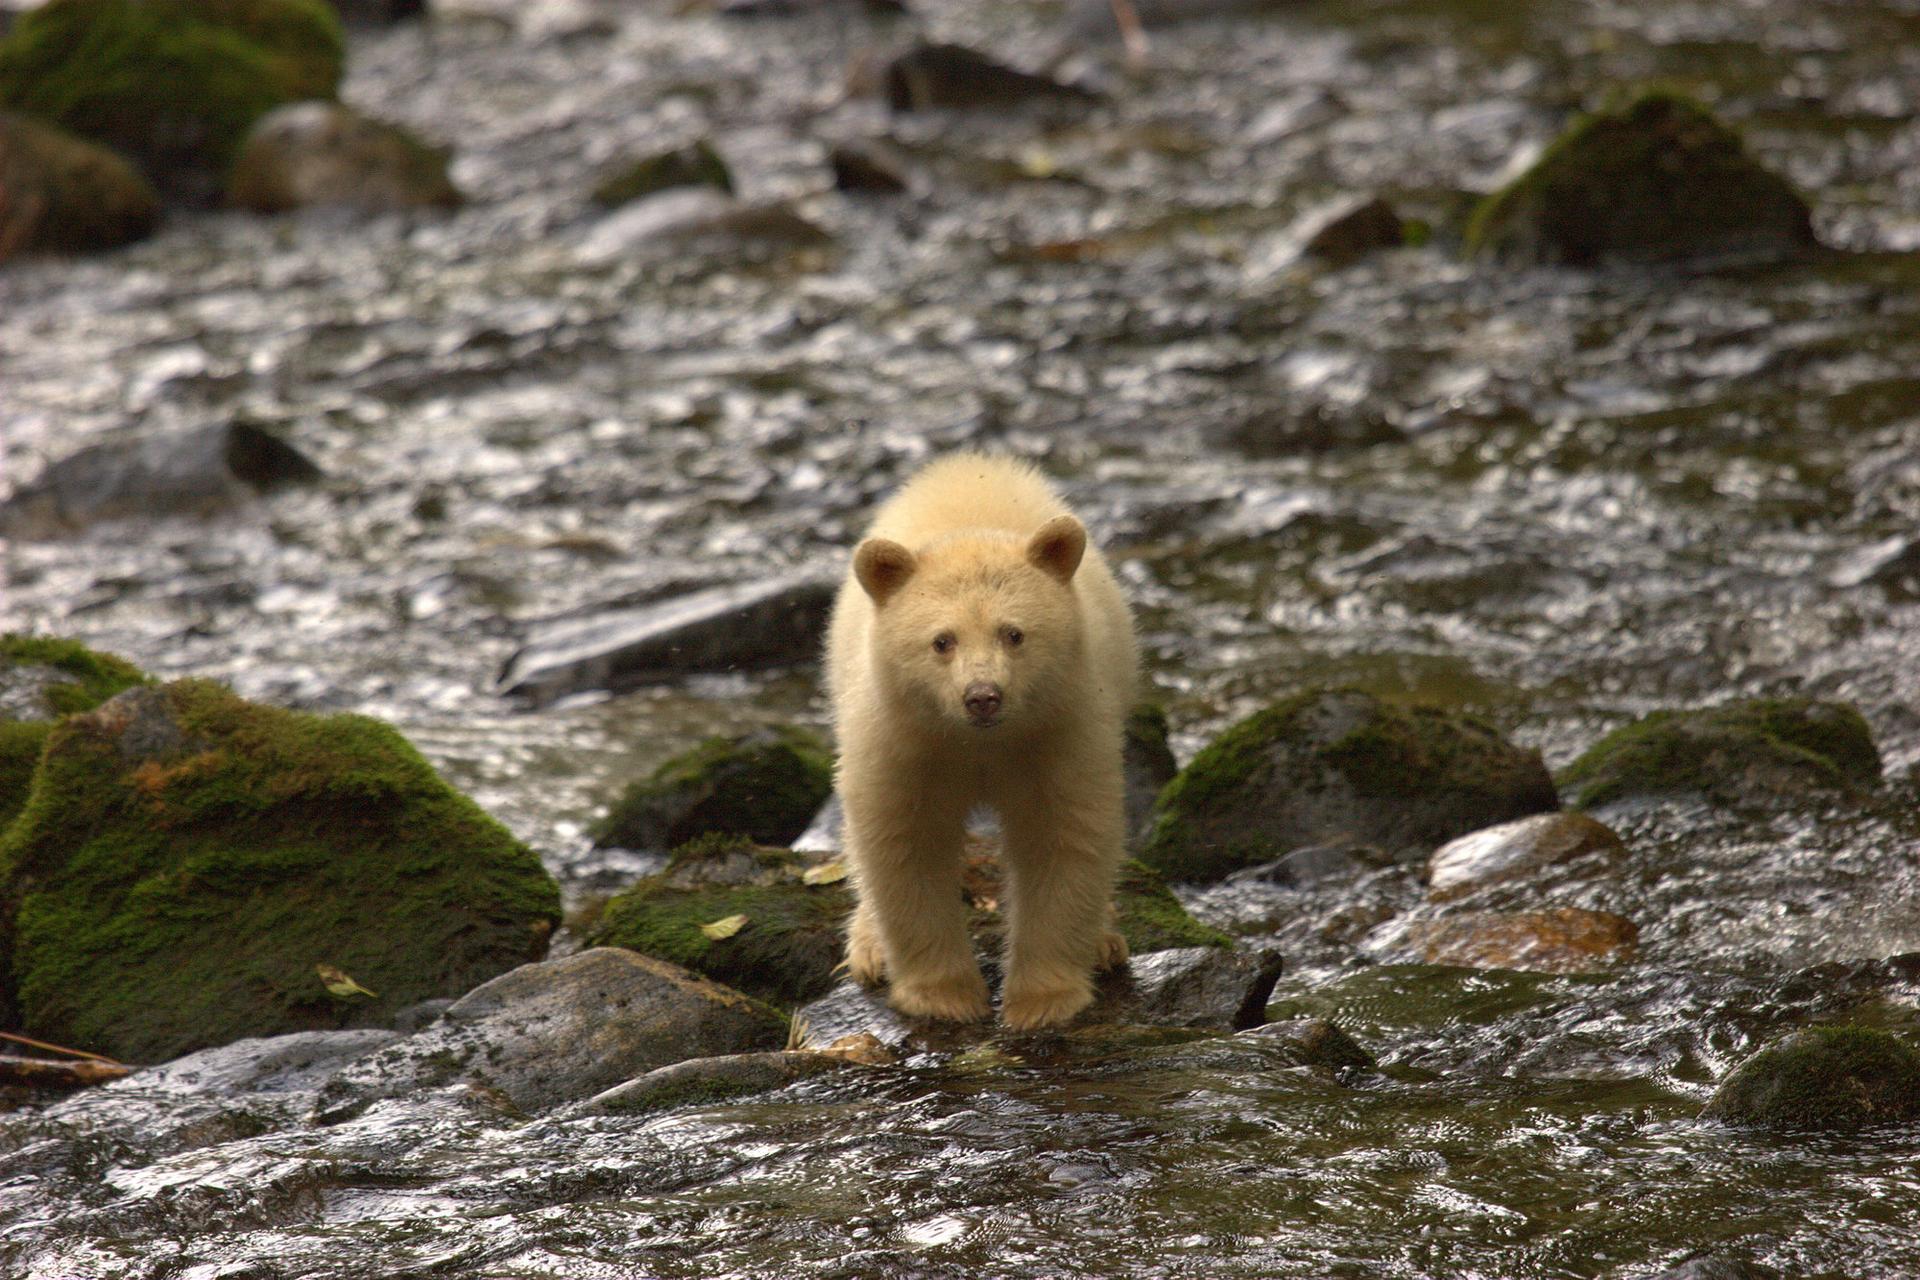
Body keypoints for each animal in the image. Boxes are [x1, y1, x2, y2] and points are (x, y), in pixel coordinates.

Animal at [825, 452, 1136, 1028]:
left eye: (1014, 633)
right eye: (941, 641)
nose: (983, 696)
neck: (980, 744)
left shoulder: (1059, 730)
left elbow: (1063, 835)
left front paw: (1041, 1000)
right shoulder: (906, 741)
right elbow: (905, 842)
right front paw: (944, 995)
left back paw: (1105, 939)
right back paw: (869, 947)